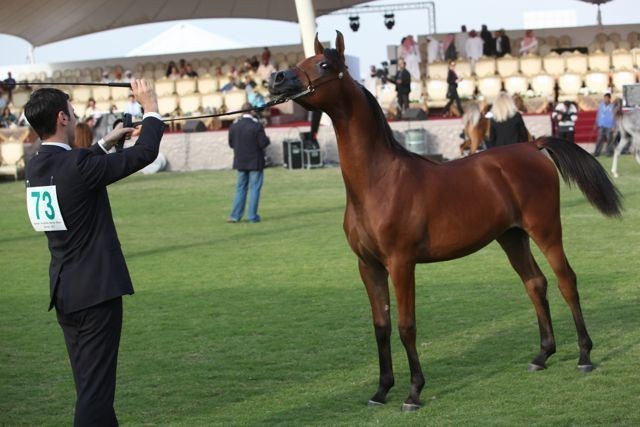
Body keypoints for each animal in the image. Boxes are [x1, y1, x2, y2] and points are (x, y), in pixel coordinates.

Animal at [268, 31, 622, 412]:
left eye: (323, 64)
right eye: (301, 61)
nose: (277, 79)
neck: (379, 180)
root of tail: (533, 147)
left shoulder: (401, 263)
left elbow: (406, 325)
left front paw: (413, 393)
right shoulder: (368, 266)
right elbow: (381, 325)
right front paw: (381, 390)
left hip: (545, 230)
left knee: (565, 280)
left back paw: (584, 356)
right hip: (512, 237)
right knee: (535, 283)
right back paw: (542, 356)